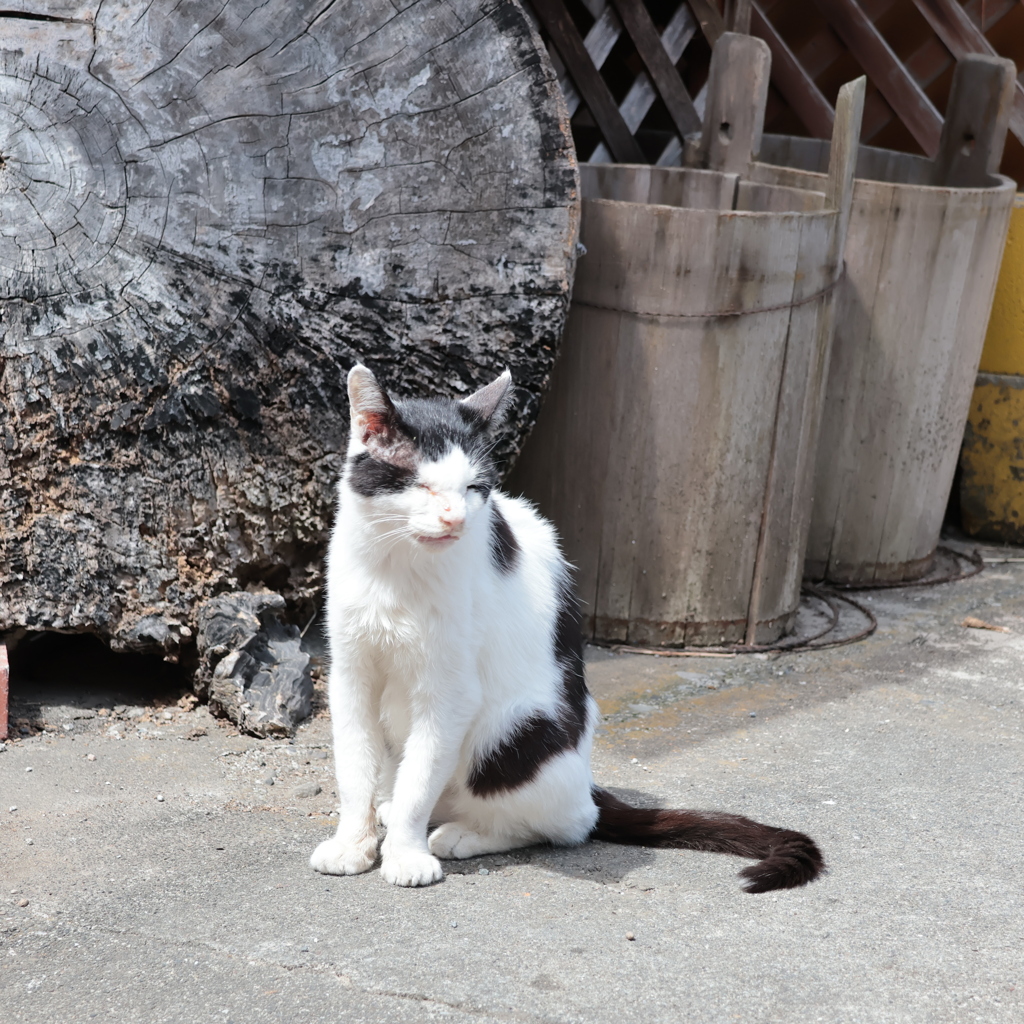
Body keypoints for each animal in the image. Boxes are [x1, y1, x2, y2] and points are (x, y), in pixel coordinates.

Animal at [309, 366, 823, 888]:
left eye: (473, 488)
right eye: (421, 486)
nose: (455, 519)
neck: (396, 566)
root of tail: (588, 783)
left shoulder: (450, 689)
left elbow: (421, 778)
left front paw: (406, 855)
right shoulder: (351, 672)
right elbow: (354, 767)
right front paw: (353, 844)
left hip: (520, 730)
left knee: (562, 824)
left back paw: (460, 834)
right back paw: (397, 812)